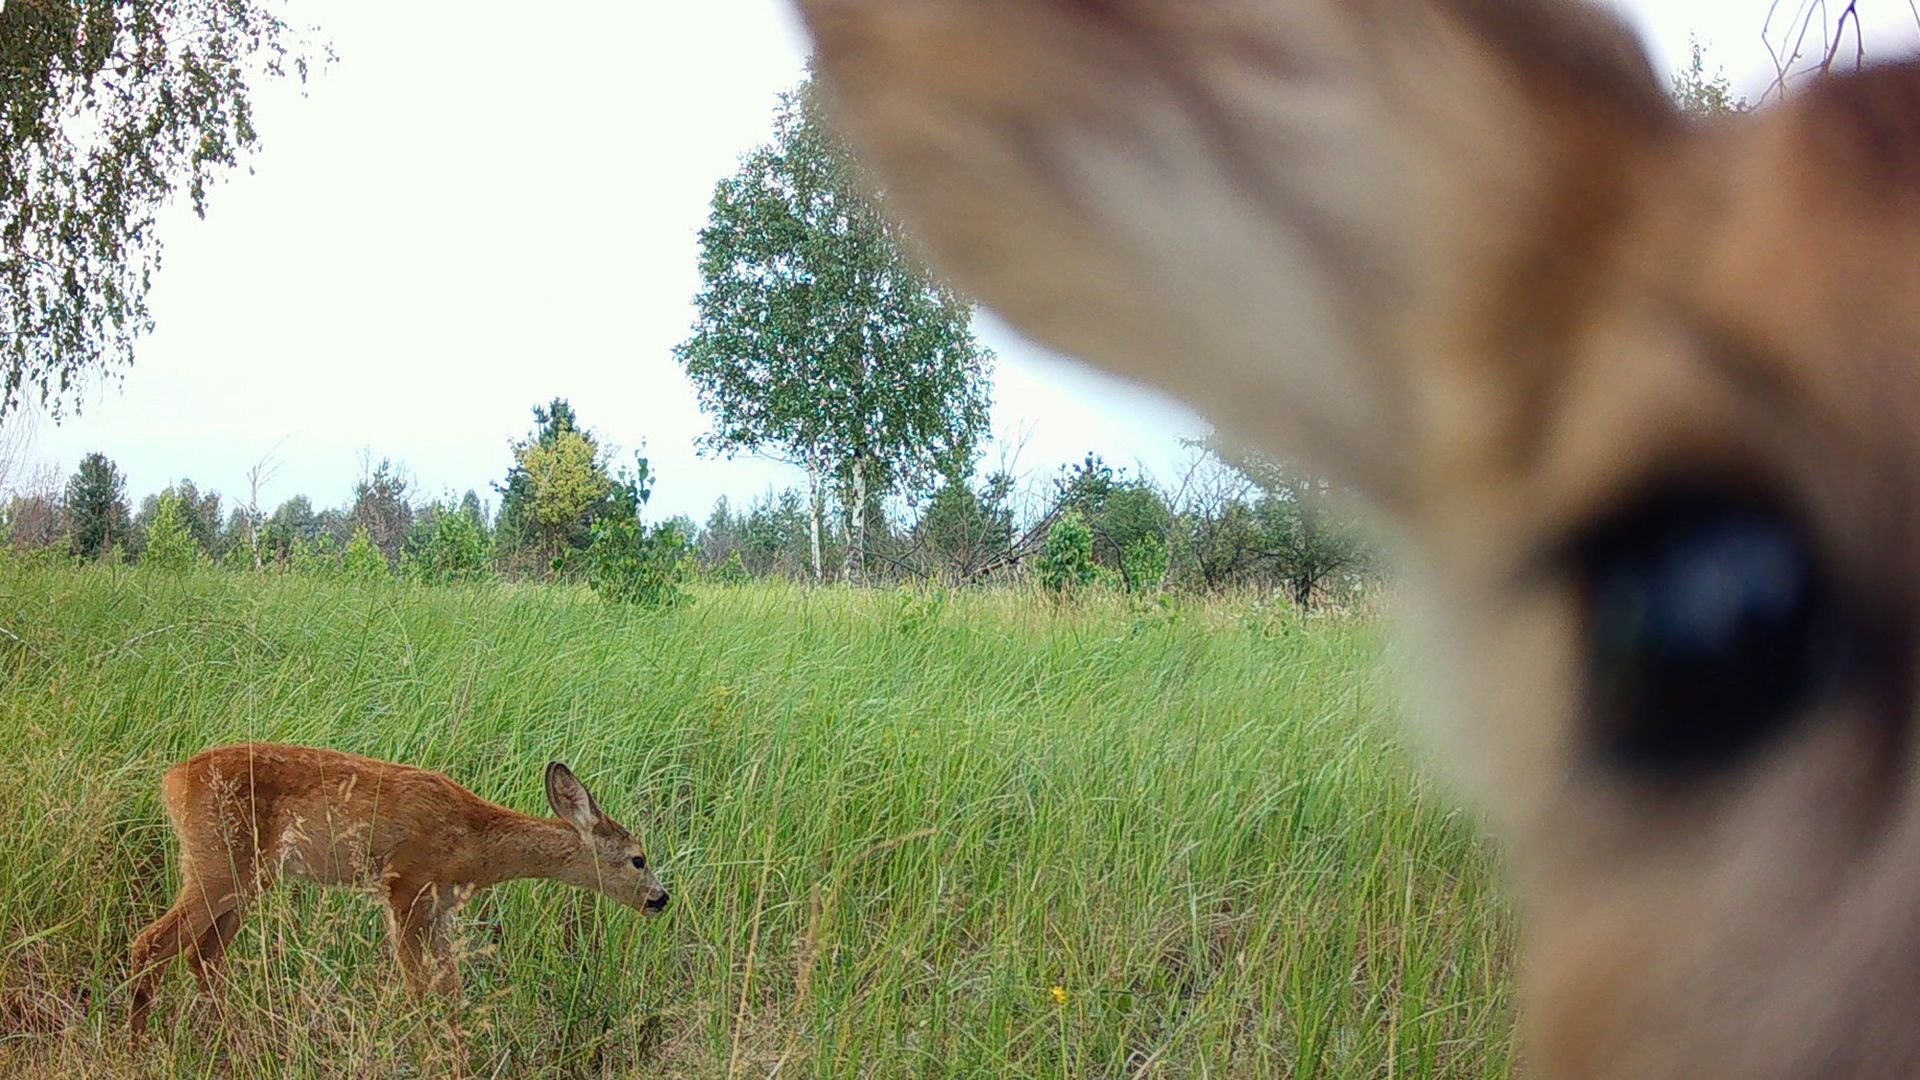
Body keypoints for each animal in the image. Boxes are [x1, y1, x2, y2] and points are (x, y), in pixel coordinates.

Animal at [128, 743, 669, 1035]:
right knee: (151, 942)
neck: (473, 842)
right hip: (218, 862)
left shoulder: (441, 907)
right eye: (638, 858)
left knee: (203, 954)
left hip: (243, 876)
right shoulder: (406, 886)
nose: (660, 898)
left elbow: (450, 989)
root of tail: (172, 780)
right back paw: (139, 1043)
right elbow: (418, 989)